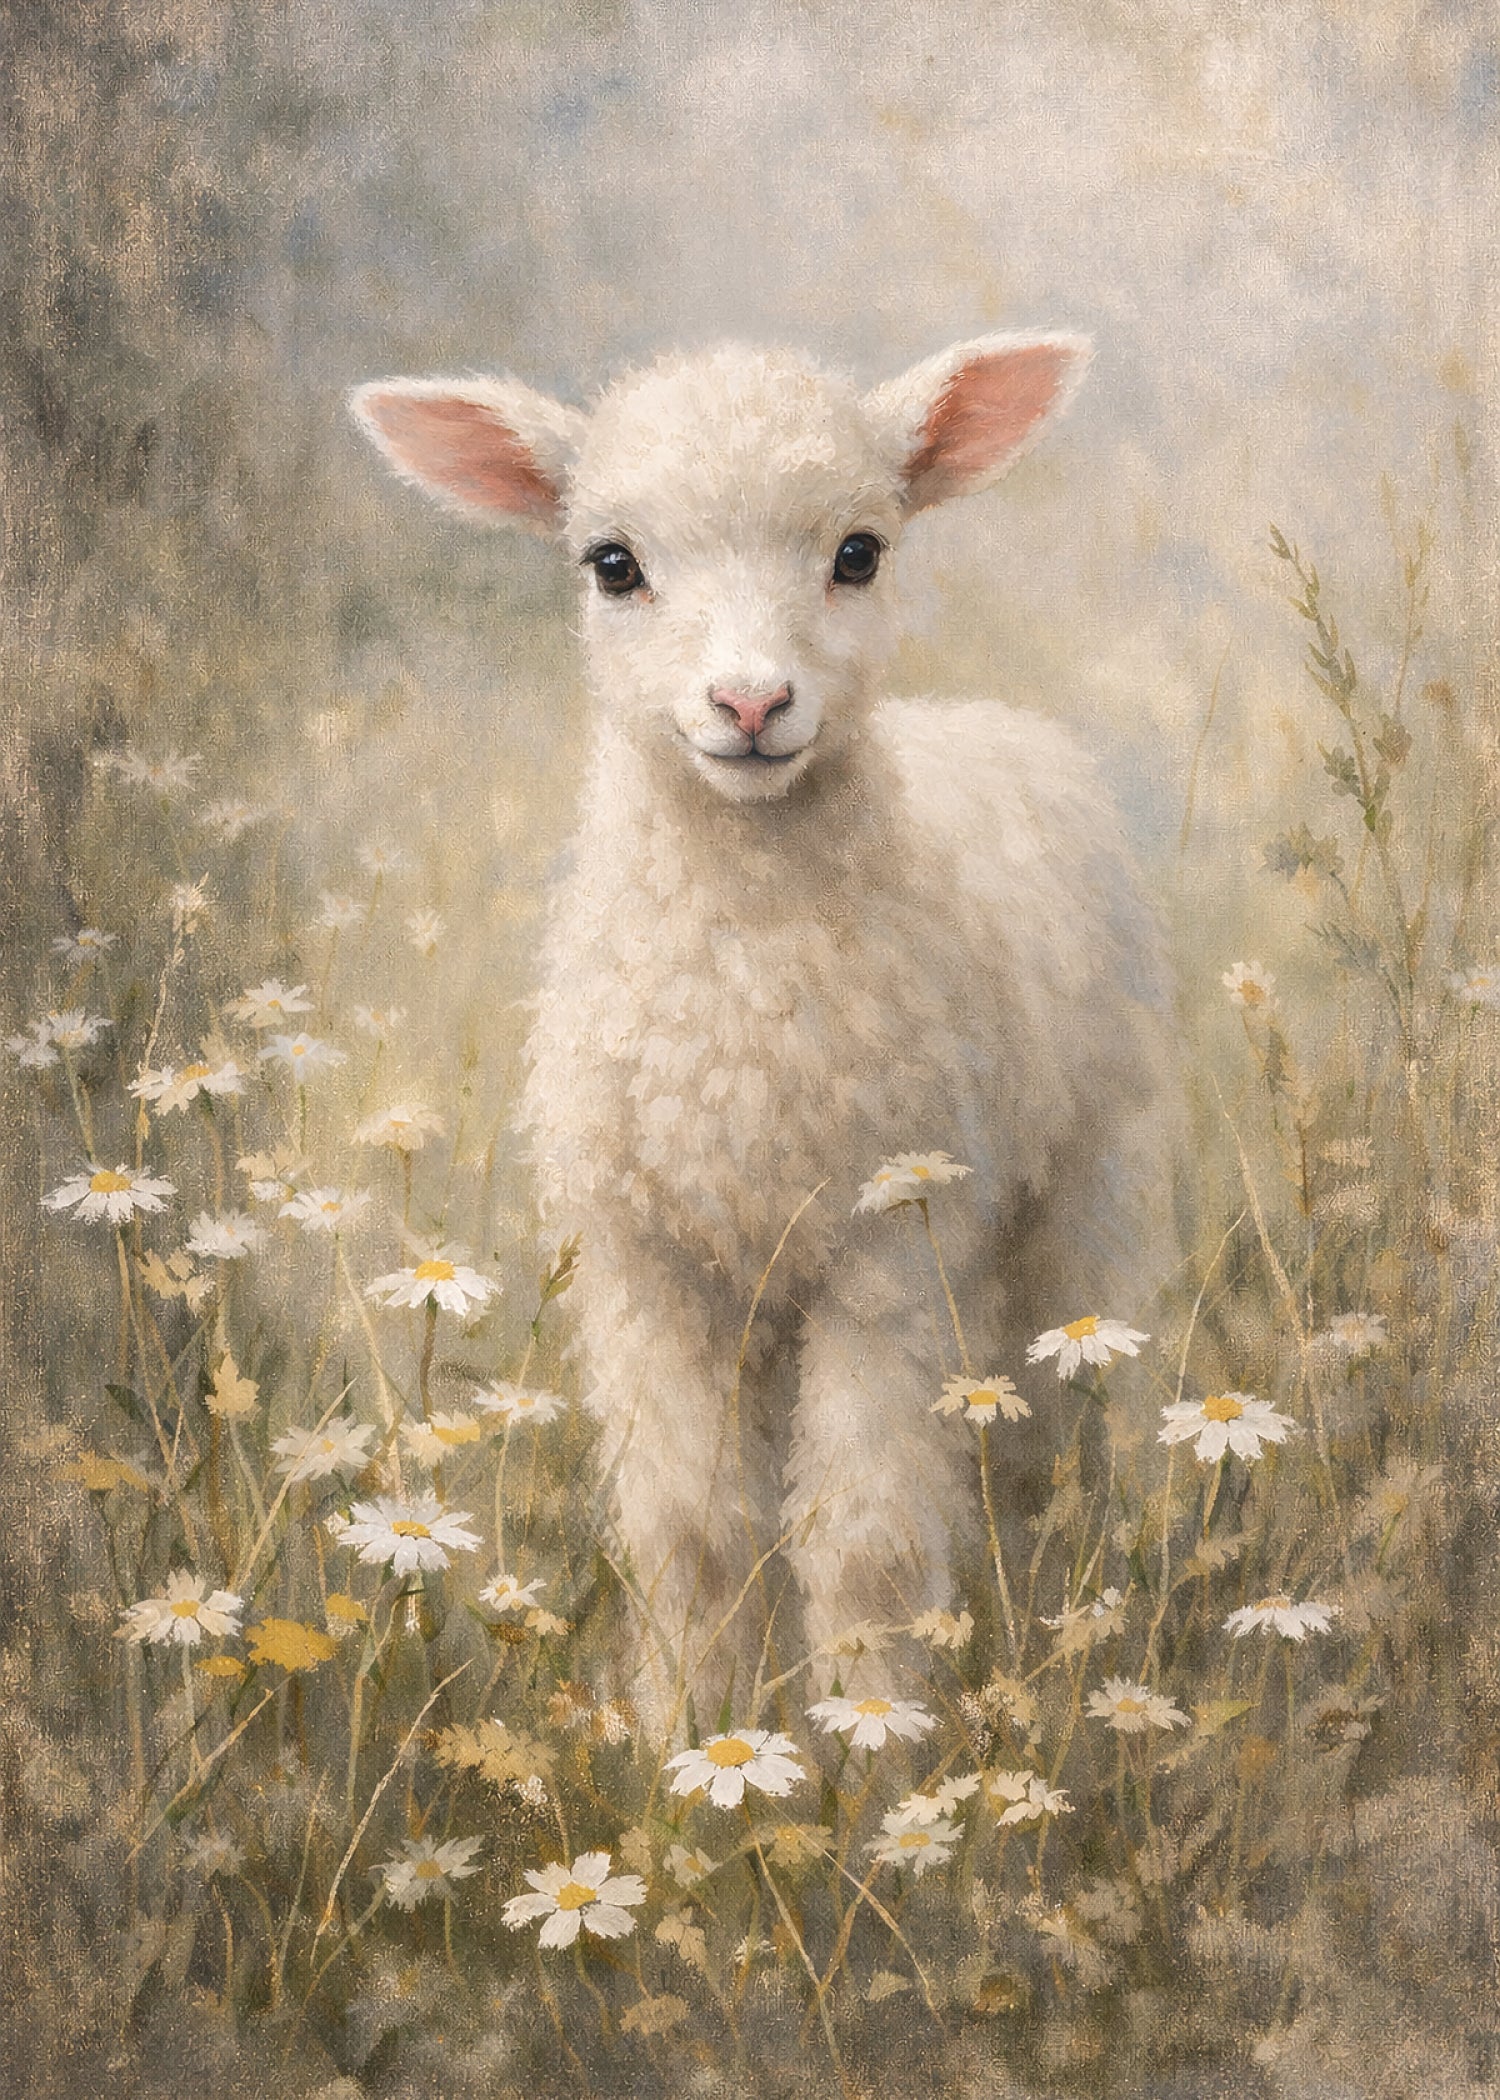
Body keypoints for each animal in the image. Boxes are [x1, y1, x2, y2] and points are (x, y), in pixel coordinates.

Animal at [351, 336, 1175, 1728]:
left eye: (858, 552)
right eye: (611, 563)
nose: (750, 703)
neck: (740, 1008)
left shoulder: (886, 1252)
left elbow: (867, 1537)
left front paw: (875, 1742)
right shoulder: (644, 1264)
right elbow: (692, 1533)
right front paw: (692, 1737)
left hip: (1073, 1182)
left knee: (1057, 1422)